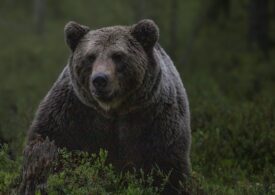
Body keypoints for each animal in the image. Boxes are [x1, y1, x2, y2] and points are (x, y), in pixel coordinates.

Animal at [18, 19, 192, 193]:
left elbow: (167, 167)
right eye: (91, 56)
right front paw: (39, 179)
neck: (112, 109)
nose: (100, 79)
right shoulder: (72, 113)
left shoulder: (155, 119)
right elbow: (48, 144)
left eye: (118, 56)